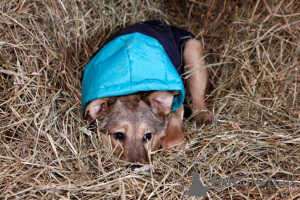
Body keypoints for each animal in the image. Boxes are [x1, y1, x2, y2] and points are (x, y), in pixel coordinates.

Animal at [82, 20, 212, 168]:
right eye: (119, 135)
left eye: (147, 136)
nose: (135, 167)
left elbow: (172, 124)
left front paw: (170, 139)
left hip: (192, 49)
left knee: (198, 95)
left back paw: (202, 115)